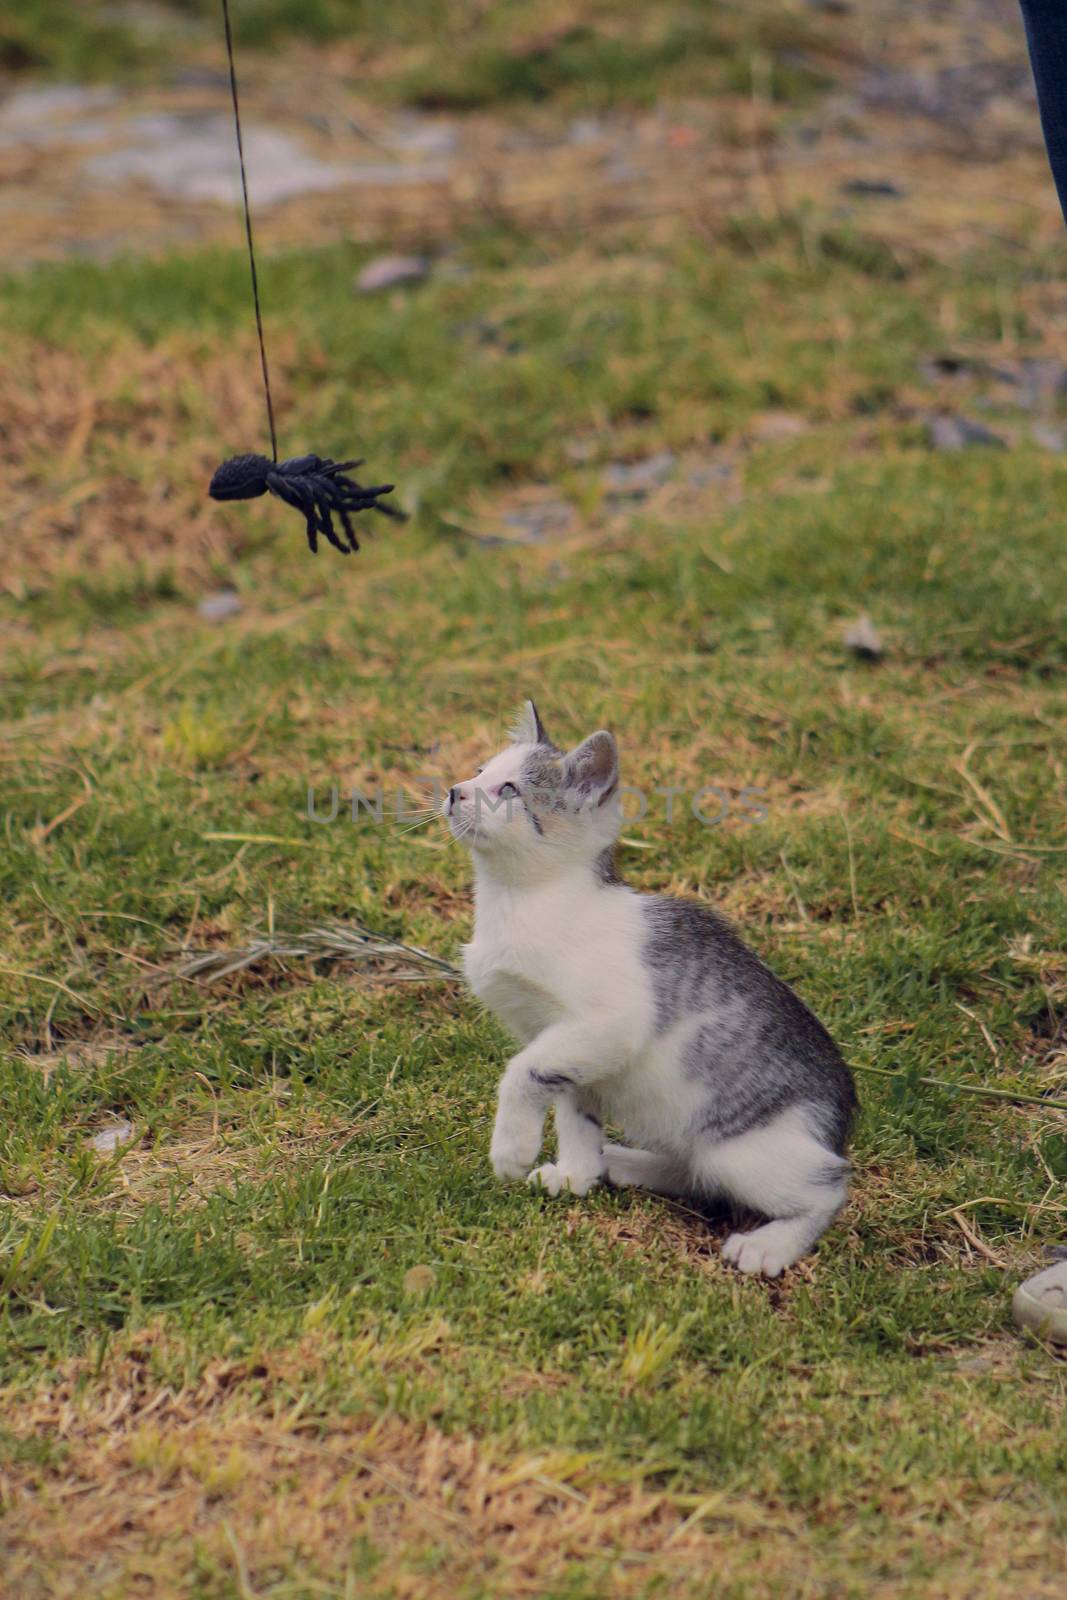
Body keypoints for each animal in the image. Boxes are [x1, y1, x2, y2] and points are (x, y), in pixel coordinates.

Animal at [444, 700, 857, 1273]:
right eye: (480, 770)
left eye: (508, 790)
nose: (454, 790)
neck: (523, 899)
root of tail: (839, 1121)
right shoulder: (566, 1045)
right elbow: (573, 1107)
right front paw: (575, 1174)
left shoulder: (610, 1022)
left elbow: (520, 1074)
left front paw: (511, 1149)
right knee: (695, 1173)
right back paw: (617, 1162)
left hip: (743, 1152)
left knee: (827, 1188)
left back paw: (771, 1244)